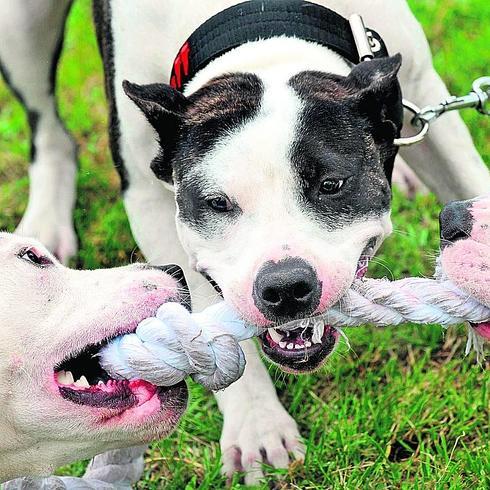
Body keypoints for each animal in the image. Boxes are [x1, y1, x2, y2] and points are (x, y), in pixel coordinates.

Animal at [1, 0, 488, 484]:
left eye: (331, 184)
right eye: (216, 202)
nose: (286, 287)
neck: (258, 28)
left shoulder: (425, 93)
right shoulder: (147, 198)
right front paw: (258, 424)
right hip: (21, 27)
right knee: (47, 129)